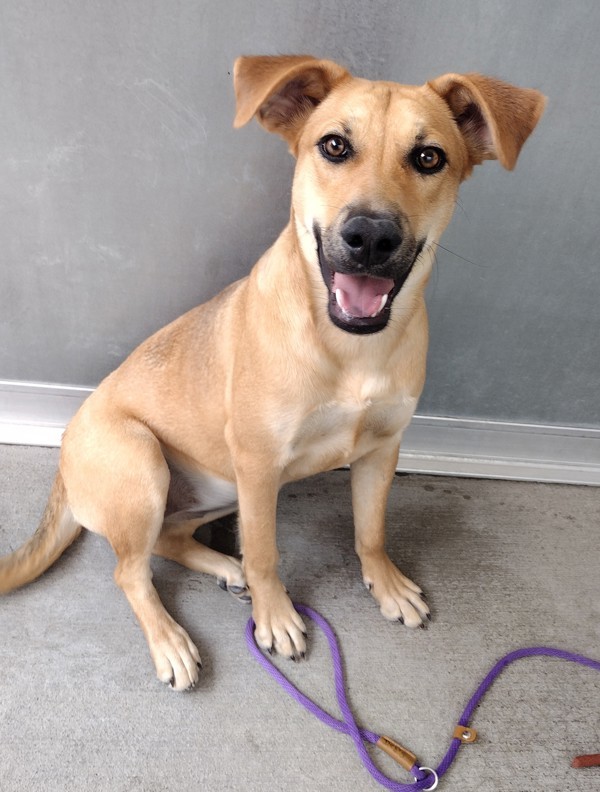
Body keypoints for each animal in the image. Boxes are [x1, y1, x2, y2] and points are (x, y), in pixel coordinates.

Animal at [0, 55, 544, 688]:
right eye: (334, 145)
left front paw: (384, 584)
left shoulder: (382, 449)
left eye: (429, 157)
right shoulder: (259, 466)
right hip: (146, 462)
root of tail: (65, 462)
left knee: (168, 539)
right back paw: (171, 641)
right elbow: (265, 553)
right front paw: (276, 616)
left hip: (215, 487)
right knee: (130, 571)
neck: (349, 349)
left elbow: (371, 531)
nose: (370, 236)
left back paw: (221, 566)